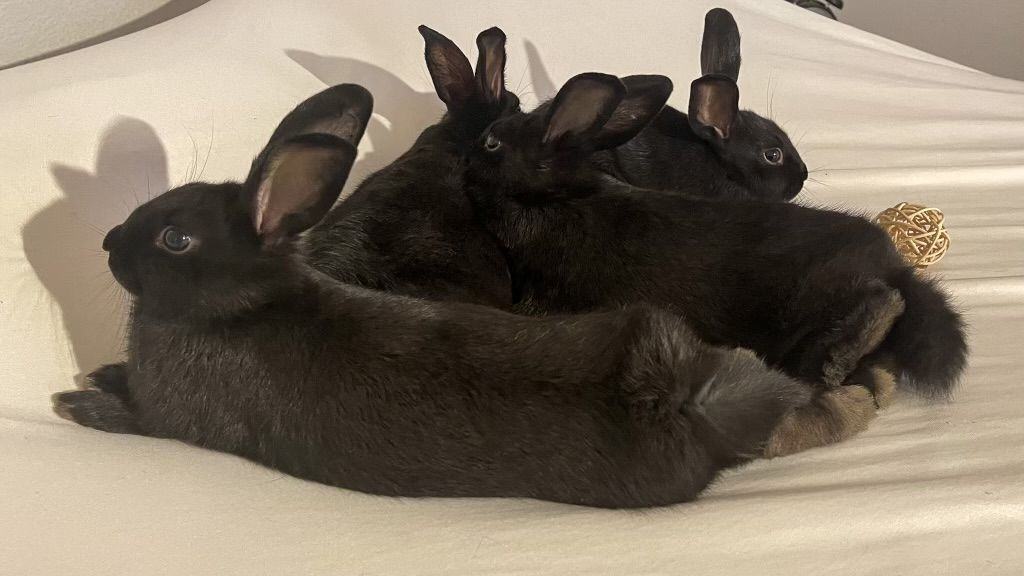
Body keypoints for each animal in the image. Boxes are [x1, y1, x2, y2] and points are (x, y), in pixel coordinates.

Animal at [50, 100, 814, 509]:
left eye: (175, 238)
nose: (108, 243)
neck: (236, 301)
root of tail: (678, 399)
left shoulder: (172, 420)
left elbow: (139, 420)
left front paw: (79, 402)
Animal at [462, 71, 967, 413]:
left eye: (492, 144)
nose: (467, 158)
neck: (555, 195)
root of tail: (895, 266)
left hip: (807, 307)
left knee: (876, 307)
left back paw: (837, 360)